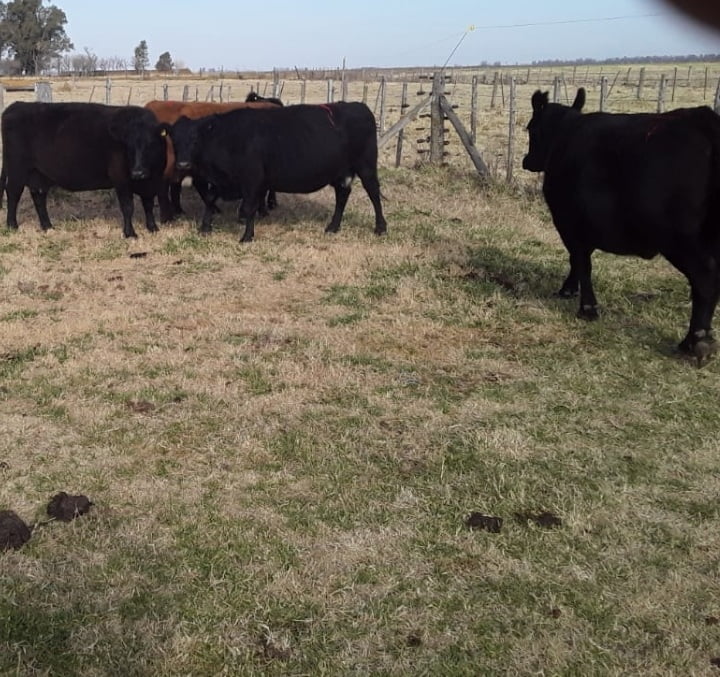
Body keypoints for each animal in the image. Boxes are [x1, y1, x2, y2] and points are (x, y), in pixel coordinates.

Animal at [0, 102, 169, 238]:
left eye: (151, 143)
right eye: (128, 146)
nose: (138, 173)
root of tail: (16, 106)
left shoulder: (152, 182)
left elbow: (148, 205)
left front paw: (153, 228)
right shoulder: (121, 180)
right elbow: (128, 207)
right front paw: (130, 233)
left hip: (38, 174)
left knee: (39, 197)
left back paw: (48, 227)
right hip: (17, 170)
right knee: (13, 194)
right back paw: (12, 225)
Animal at [168, 102, 387, 243]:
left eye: (195, 139)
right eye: (175, 141)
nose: (183, 164)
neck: (229, 137)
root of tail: (359, 106)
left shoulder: (252, 180)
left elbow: (249, 208)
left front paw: (246, 237)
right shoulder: (222, 180)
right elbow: (210, 200)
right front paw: (205, 227)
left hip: (366, 167)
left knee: (374, 194)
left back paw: (380, 228)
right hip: (341, 172)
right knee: (342, 196)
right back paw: (333, 227)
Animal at [522, 87, 720, 360]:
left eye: (531, 129)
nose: (527, 161)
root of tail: (703, 120)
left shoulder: (569, 223)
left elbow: (581, 262)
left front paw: (586, 308)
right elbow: (578, 261)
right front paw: (570, 291)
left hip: (682, 240)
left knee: (705, 280)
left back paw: (695, 342)